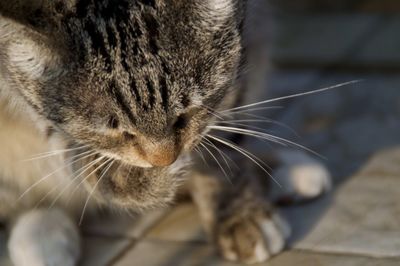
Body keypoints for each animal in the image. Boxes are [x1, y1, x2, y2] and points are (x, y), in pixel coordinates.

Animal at [0, 1, 332, 264]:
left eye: (184, 114)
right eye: (119, 131)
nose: (164, 160)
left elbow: (221, 138)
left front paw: (238, 211)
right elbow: (71, 148)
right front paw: (144, 182)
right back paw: (41, 230)